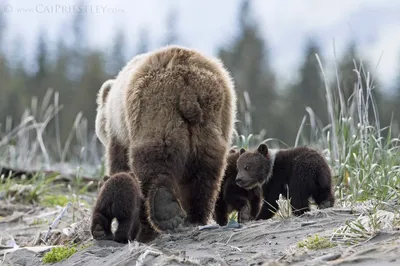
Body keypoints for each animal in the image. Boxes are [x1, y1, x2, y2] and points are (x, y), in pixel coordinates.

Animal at [95, 45, 236, 241]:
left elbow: (120, 165)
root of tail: (188, 88)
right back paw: (194, 217)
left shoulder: (119, 133)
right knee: (206, 172)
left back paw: (162, 212)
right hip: (214, 120)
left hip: (154, 111)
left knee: (155, 161)